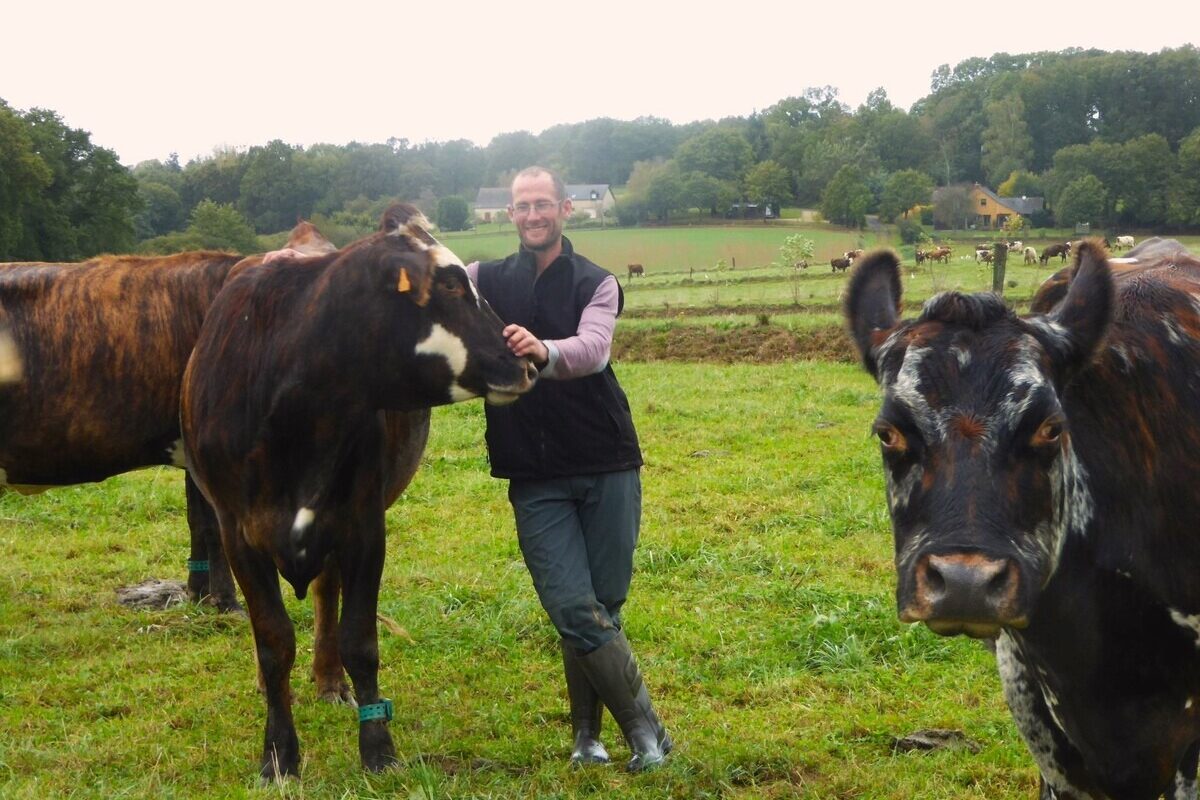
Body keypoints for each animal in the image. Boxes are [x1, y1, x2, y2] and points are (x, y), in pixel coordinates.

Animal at [180, 201, 537, 782]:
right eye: (452, 284)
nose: (530, 361)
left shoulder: (363, 526)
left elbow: (360, 640)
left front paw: (378, 748)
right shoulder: (238, 534)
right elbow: (273, 642)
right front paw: (278, 753)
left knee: (327, 596)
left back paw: (329, 679)